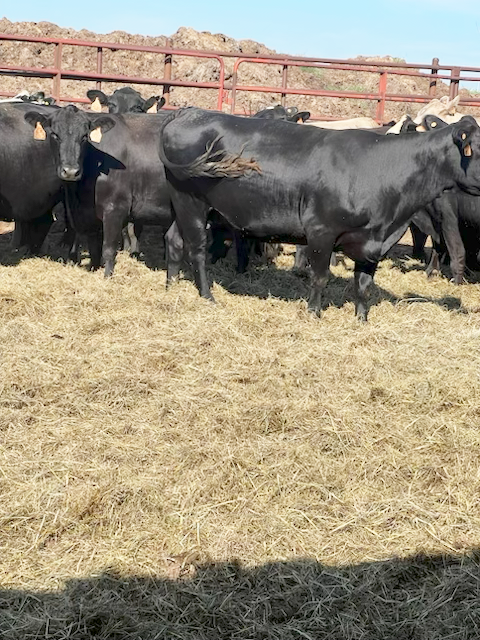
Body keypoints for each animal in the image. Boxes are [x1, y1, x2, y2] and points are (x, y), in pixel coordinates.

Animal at [157, 107, 480, 321]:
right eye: (477, 149)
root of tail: (188, 112)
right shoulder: (321, 231)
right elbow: (320, 277)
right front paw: (313, 314)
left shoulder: (373, 242)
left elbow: (363, 286)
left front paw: (361, 320)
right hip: (191, 202)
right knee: (196, 249)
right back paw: (207, 296)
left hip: (186, 205)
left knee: (173, 239)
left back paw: (172, 286)